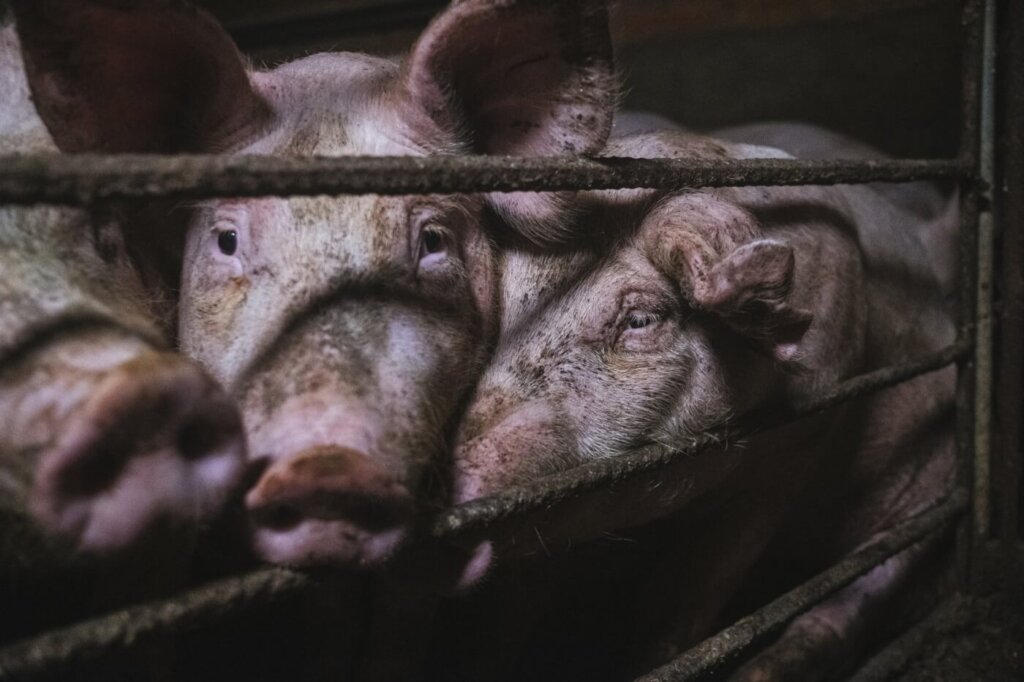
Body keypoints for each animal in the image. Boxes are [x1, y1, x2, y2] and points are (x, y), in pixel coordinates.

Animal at [448, 128, 957, 680]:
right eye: (497, 308)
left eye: (642, 320)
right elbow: (511, 619)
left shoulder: (791, 453)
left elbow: (686, 602)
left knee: (847, 608)